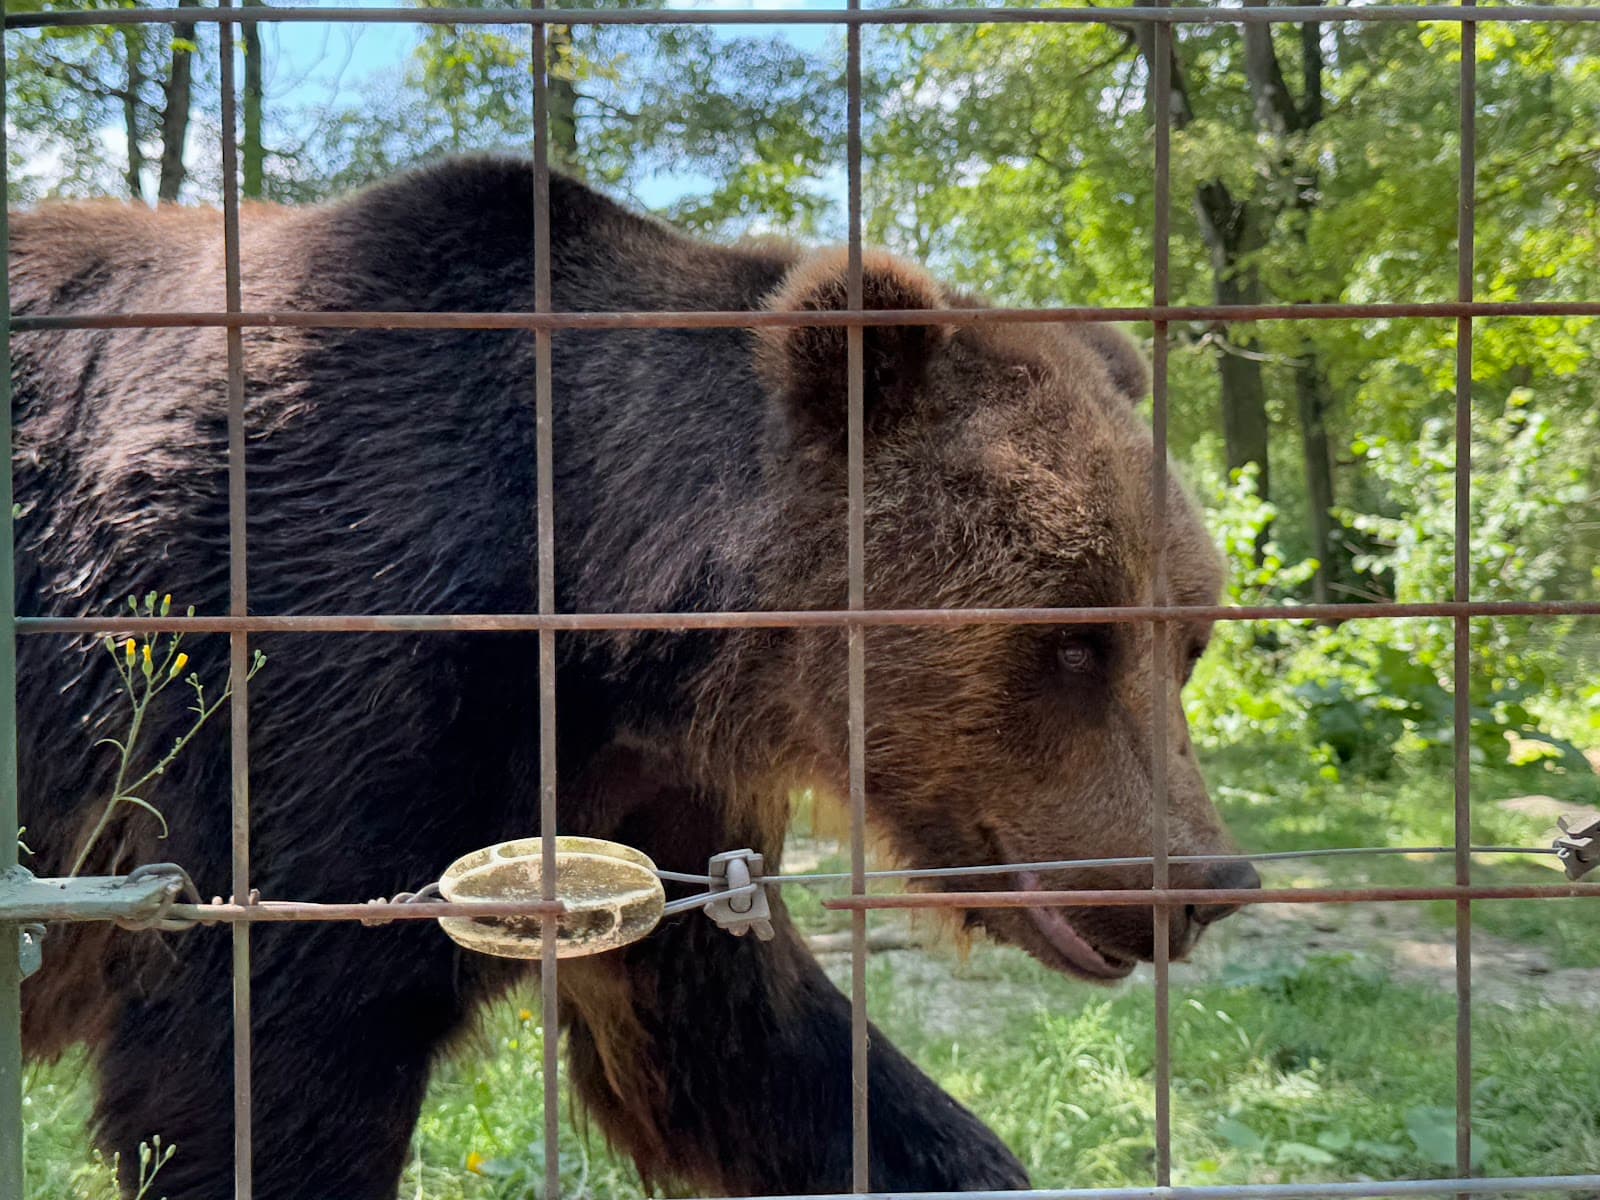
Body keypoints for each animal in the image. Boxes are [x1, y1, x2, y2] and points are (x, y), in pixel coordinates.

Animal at [11, 156, 1258, 1200]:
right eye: (1073, 640)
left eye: (1189, 638)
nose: (1201, 882)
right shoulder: (326, 660)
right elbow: (266, 1051)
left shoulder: (650, 802)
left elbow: (740, 1040)